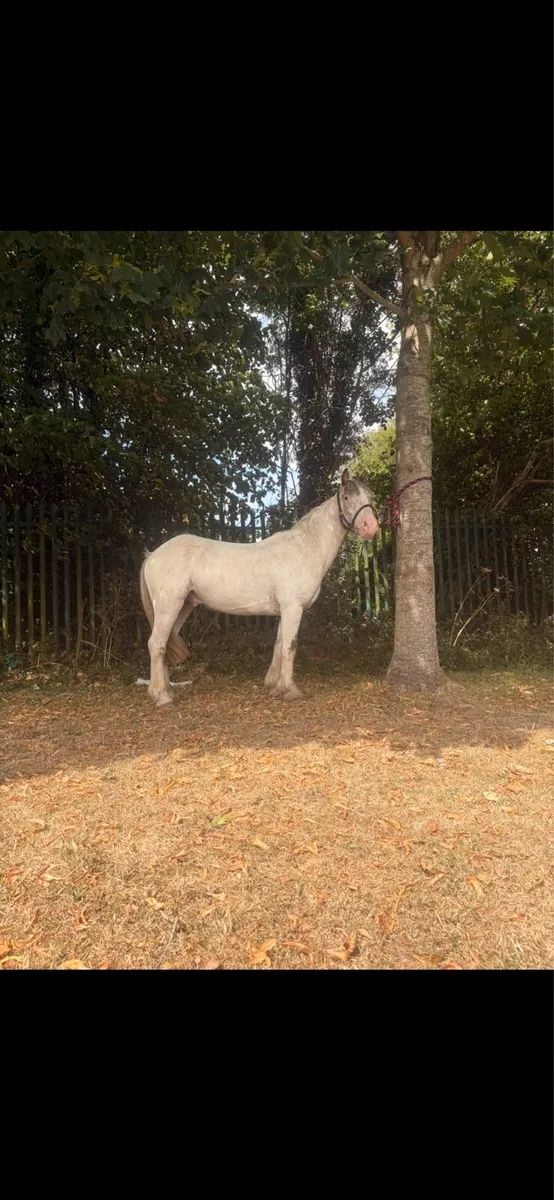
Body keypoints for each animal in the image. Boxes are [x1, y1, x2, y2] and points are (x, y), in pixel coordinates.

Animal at [139, 470, 378, 706]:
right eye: (346, 497)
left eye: (369, 497)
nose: (371, 527)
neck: (305, 549)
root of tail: (152, 556)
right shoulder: (293, 609)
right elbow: (290, 646)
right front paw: (290, 690)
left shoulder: (286, 611)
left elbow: (279, 645)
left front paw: (275, 686)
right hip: (168, 607)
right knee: (156, 644)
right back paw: (162, 697)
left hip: (183, 607)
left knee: (164, 644)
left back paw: (167, 691)